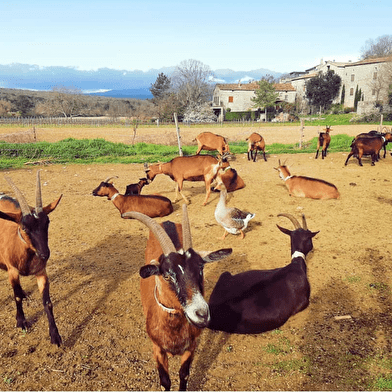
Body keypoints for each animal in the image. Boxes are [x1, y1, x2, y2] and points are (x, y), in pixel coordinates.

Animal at [0, 172, 62, 346]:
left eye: (47, 222)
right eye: (24, 228)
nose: (44, 254)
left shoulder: (41, 271)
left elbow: (47, 303)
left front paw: (55, 335)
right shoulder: (12, 271)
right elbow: (16, 297)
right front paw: (21, 322)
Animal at [123, 205, 233, 388]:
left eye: (201, 268)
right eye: (167, 275)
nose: (202, 314)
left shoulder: (191, 347)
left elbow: (184, 374)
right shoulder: (157, 348)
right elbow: (165, 380)